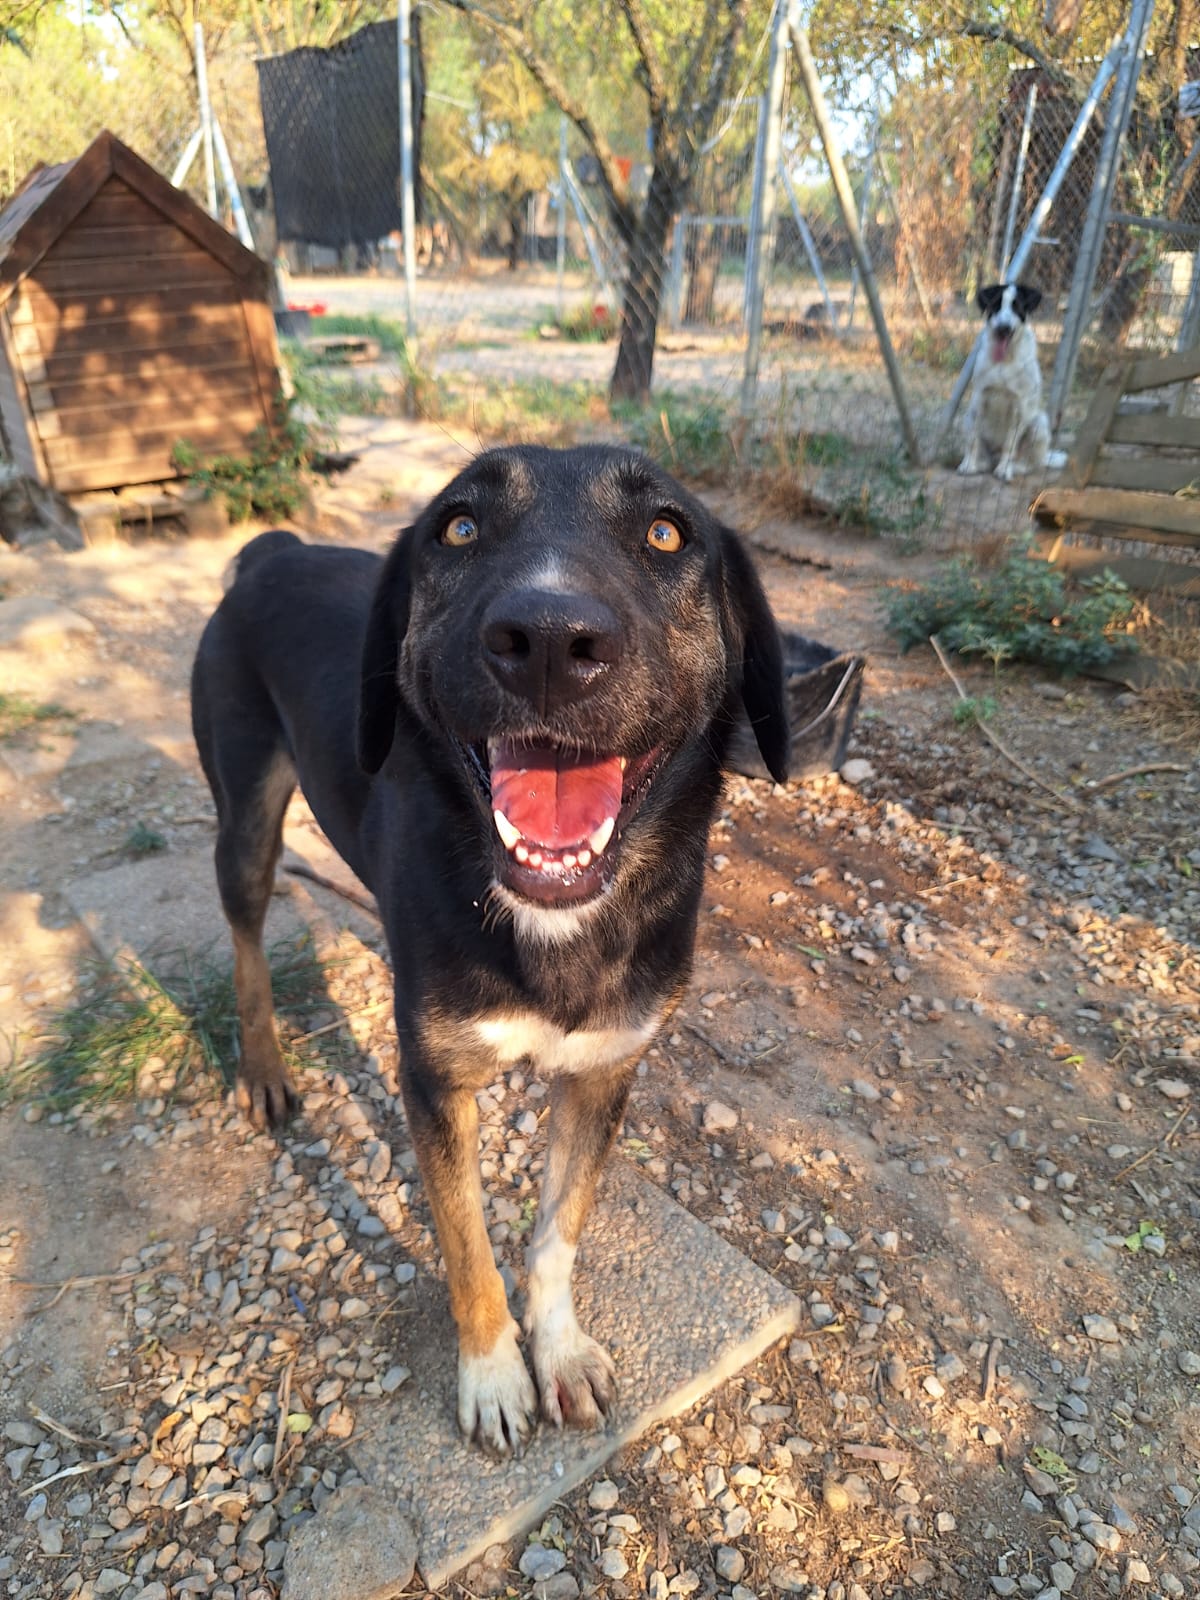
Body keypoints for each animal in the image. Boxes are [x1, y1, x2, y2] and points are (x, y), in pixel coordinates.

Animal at [191, 444, 788, 1455]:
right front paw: (493, 1376)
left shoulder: (604, 1072)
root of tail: (278, 551)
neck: (554, 927)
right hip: (245, 822)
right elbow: (467, 1241)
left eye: (668, 532)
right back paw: (265, 1067)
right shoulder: (435, 1085)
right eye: (459, 526)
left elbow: (556, 1233)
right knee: (244, 942)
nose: (548, 642)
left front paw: (560, 1351)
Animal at [958, 282, 1067, 482]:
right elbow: (973, 441)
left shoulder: (1019, 407)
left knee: (1030, 463)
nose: (1004, 328)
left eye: (1017, 307)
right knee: (981, 450)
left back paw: (1015, 467)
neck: (1005, 360)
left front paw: (1004, 470)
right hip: (967, 417)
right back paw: (981, 463)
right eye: (996, 305)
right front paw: (969, 465)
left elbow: (1009, 445)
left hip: (1039, 423)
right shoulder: (980, 399)